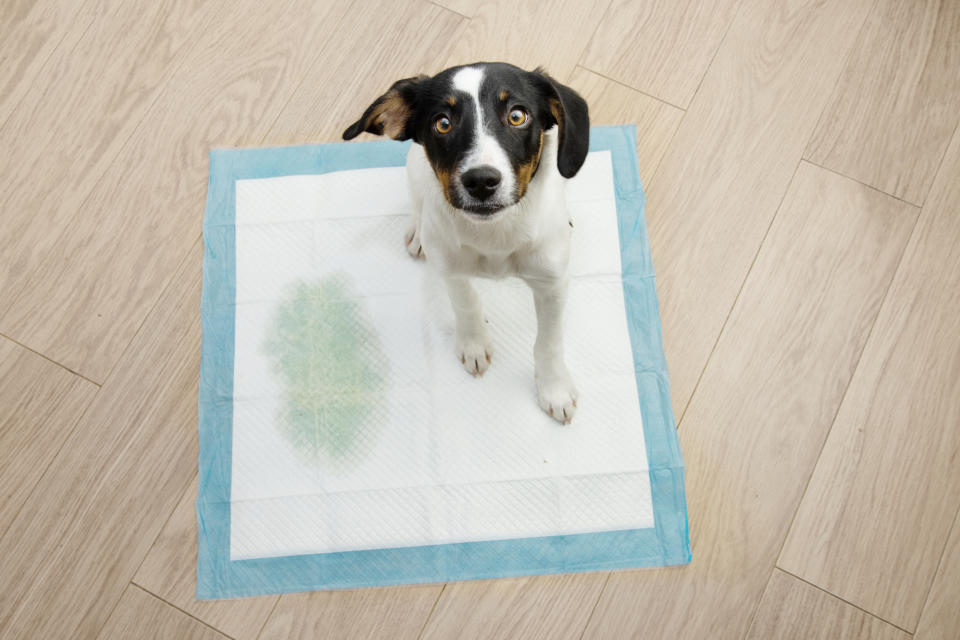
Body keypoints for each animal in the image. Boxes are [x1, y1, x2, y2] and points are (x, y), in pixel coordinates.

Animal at [342, 62, 588, 424]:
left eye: (517, 116)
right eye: (442, 123)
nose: (481, 181)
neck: (495, 235)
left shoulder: (552, 282)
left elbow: (549, 340)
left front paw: (554, 387)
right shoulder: (450, 266)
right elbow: (466, 301)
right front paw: (474, 344)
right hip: (414, 170)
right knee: (418, 203)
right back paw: (418, 232)